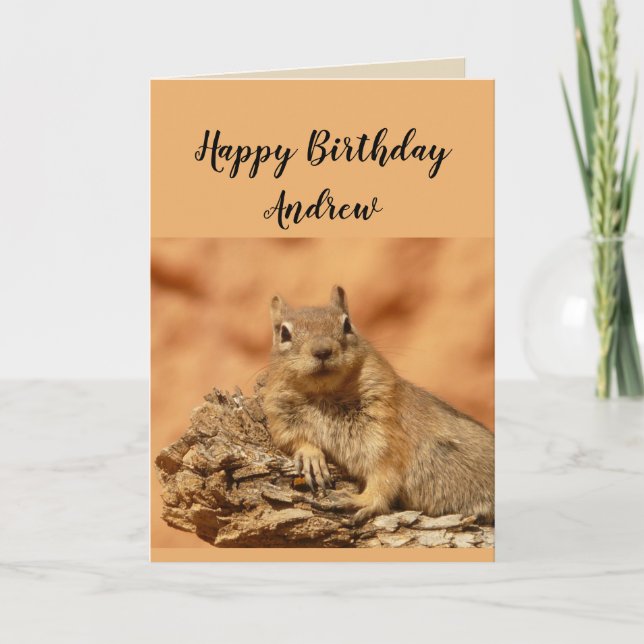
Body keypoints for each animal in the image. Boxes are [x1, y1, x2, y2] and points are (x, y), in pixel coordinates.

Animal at [263, 285, 494, 524]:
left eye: (347, 324)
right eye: (284, 333)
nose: (322, 351)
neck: (324, 395)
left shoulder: (385, 431)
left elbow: (385, 474)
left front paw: (360, 500)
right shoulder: (280, 417)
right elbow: (292, 439)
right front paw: (311, 456)